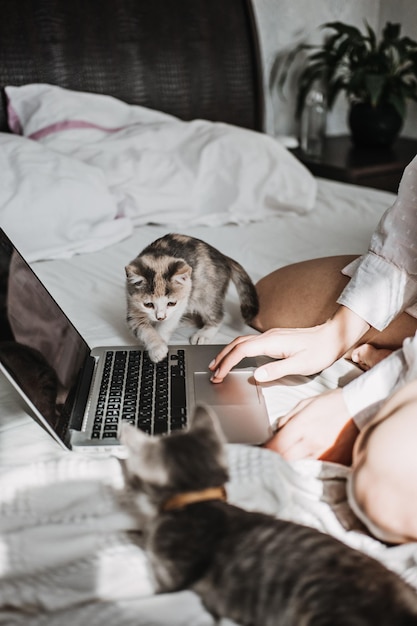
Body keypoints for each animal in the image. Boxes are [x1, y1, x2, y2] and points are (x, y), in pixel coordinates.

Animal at [125, 233, 258, 360]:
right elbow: (142, 329)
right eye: (148, 304)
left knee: (217, 315)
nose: (160, 317)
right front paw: (157, 347)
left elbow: (167, 324)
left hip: (208, 293)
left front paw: (161, 340)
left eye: (171, 303)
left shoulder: (181, 303)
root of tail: (223, 256)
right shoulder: (132, 304)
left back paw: (203, 334)